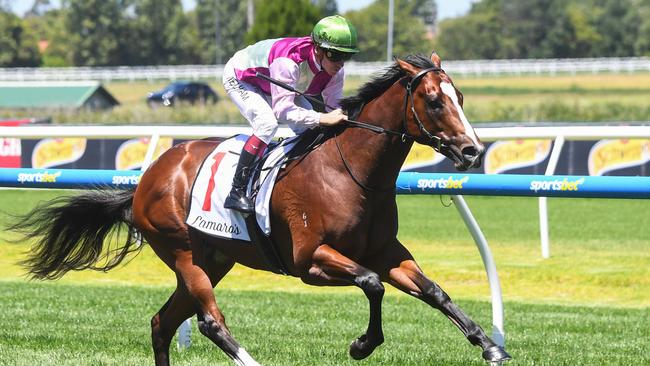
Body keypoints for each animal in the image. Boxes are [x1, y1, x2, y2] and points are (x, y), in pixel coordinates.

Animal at [11, 53, 512, 364]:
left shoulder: (386, 251)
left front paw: (490, 346)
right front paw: (362, 345)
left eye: (460, 98)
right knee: (210, 322)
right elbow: (372, 285)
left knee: (162, 323)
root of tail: (148, 178)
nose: (472, 150)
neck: (350, 171)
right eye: (434, 100)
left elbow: (433, 291)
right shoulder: (310, 260)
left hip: (214, 259)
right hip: (183, 252)